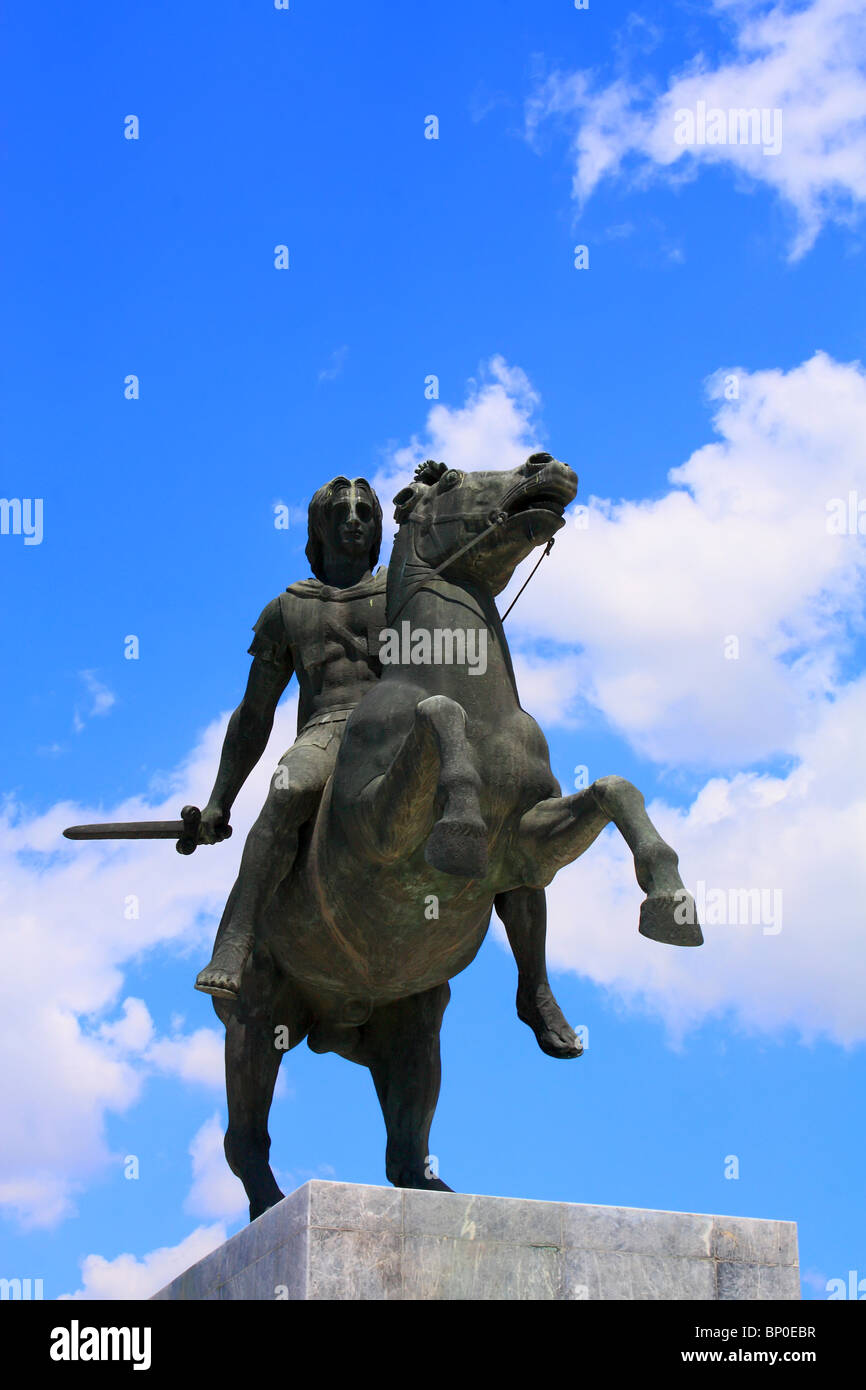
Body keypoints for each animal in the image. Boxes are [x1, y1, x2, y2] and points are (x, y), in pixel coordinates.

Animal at [214, 453, 700, 1217]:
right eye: (446, 480)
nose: (545, 464)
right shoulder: (377, 830)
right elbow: (437, 715)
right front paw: (461, 825)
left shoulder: (530, 844)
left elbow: (615, 790)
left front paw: (671, 903)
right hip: (259, 1021)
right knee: (246, 1138)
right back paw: (270, 1198)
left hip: (413, 1026)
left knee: (405, 1135)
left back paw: (436, 1175)